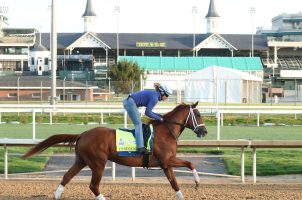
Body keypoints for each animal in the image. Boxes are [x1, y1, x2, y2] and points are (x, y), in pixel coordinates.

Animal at [21, 102, 206, 199]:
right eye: (198, 115)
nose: (204, 131)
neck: (166, 131)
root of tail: (82, 134)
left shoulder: (165, 164)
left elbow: (175, 183)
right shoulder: (167, 160)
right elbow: (190, 163)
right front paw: (197, 183)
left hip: (81, 160)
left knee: (66, 177)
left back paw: (57, 195)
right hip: (98, 163)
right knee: (93, 185)